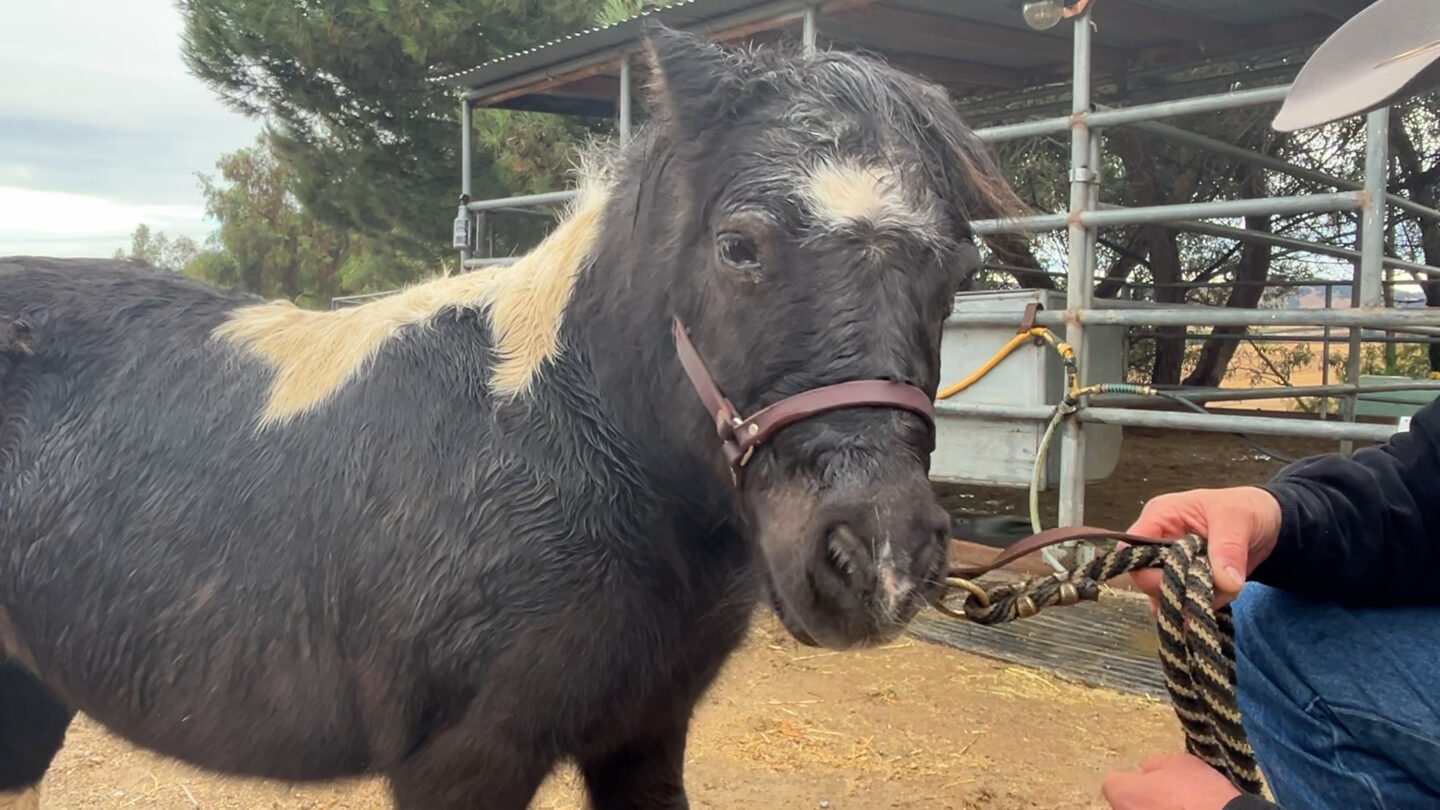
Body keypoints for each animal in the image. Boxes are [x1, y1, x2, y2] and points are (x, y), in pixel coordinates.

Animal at [0, 25, 1020, 810]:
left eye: (960, 267)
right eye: (740, 246)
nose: (878, 559)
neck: (564, 446)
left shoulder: (646, 736)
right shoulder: (463, 764)